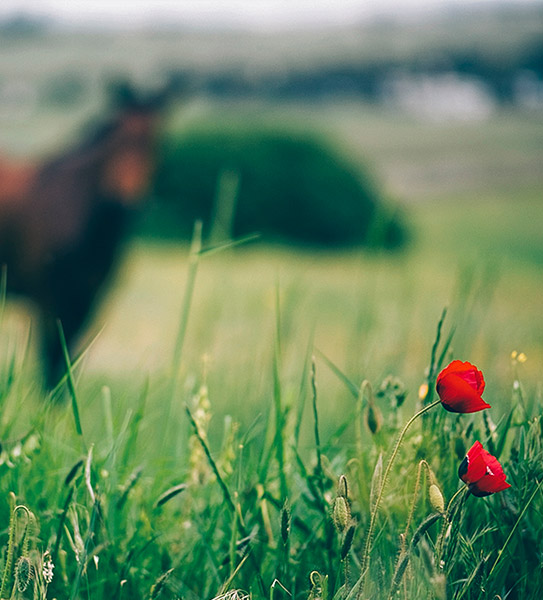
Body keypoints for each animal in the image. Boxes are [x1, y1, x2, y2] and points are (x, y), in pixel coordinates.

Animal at [0, 82, 168, 386]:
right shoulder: (48, 302)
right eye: (117, 140)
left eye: (154, 144)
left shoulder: (88, 301)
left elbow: (66, 363)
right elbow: (51, 362)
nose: (125, 201)